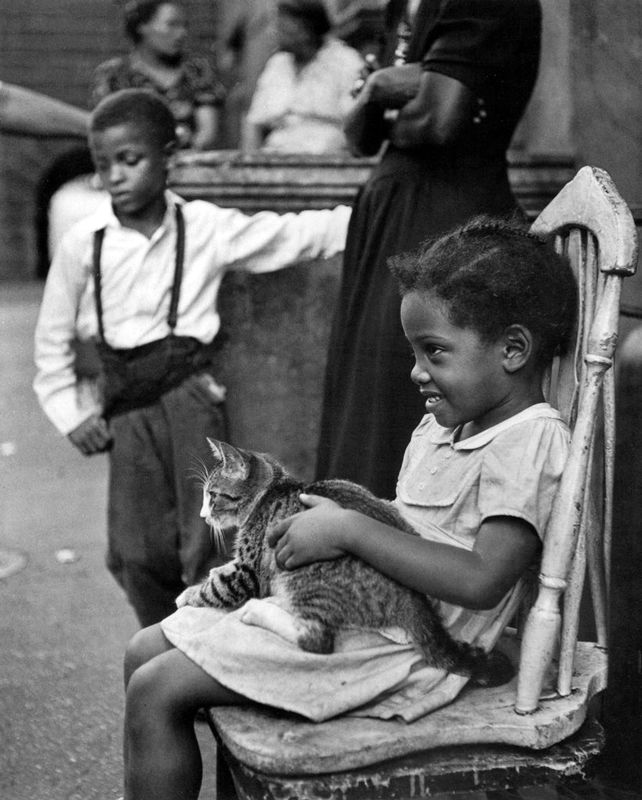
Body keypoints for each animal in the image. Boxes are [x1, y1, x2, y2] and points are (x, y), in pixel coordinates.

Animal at [176, 440, 516, 684]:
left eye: (212, 496)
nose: (202, 516)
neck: (272, 491)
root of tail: (415, 600)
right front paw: (214, 569)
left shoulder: (249, 572)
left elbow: (218, 588)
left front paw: (187, 595)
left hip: (303, 574)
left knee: (316, 639)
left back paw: (256, 612)